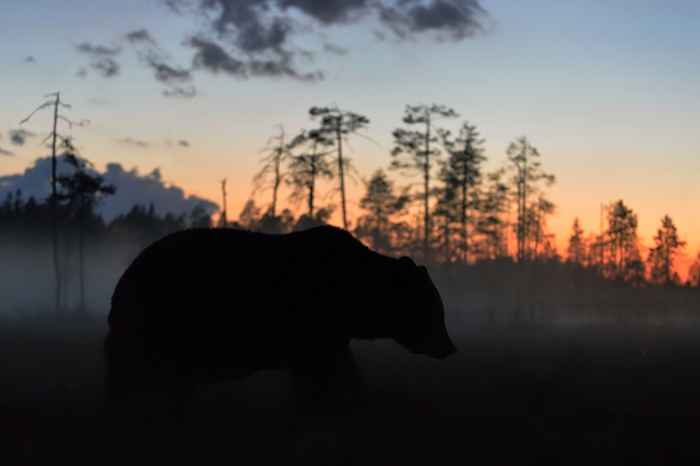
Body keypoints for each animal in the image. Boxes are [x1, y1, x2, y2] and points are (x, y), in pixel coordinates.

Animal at [102, 226, 454, 422]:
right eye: (436, 310)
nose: (448, 346)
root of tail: (123, 277)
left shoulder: (333, 335)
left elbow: (342, 371)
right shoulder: (313, 327)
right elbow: (318, 376)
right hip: (159, 322)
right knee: (134, 378)